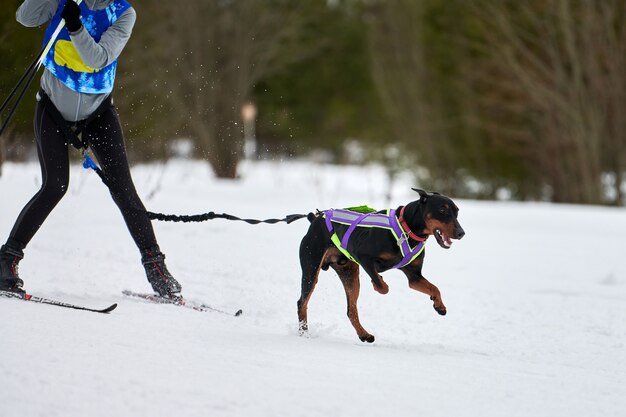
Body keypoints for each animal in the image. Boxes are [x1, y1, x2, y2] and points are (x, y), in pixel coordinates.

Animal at [298, 188, 464, 342]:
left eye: (456, 212)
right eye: (442, 210)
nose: (461, 233)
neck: (406, 229)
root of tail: (315, 218)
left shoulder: (414, 276)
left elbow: (434, 288)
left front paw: (439, 305)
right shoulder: (364, 258)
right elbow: (383, 287)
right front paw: (379, 283)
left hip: (349, 273)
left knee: (351, 310)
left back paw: (364, 334)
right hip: (311, 268)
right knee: (302, 302)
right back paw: (303, 332)